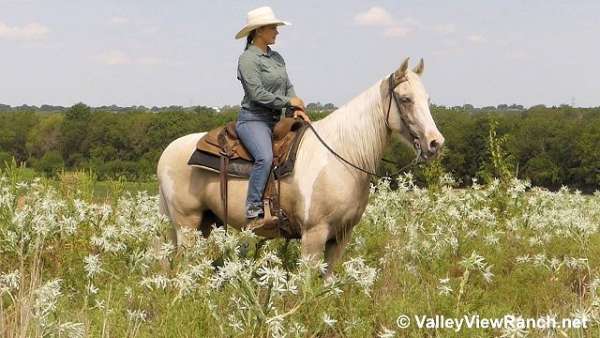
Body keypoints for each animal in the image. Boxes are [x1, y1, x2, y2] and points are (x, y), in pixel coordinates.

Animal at [157, 56, 442, 276]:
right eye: (405, 99)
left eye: (427, 98)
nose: (435, 142)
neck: (340, 157)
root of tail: (167, 152)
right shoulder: (313, 235)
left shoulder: (341, 237)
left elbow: (326, 282)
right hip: (187, 224)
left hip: (205, 223)